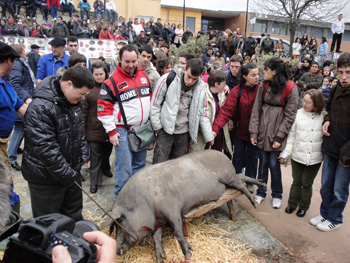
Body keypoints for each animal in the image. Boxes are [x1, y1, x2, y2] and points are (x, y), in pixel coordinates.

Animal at [102, 151, 266, 263]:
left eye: (120, 223)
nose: (116, 251)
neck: (144, 201)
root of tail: (223, 155)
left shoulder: (172, 209)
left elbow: (178, 232)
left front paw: (188, 254)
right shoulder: (158, 220)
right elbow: (157, 237)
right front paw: (161, 258)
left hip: (227, 176)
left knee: (241, 184)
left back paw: (255, 202)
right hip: (229, 179)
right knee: (241, 177)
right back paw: (261, 184)